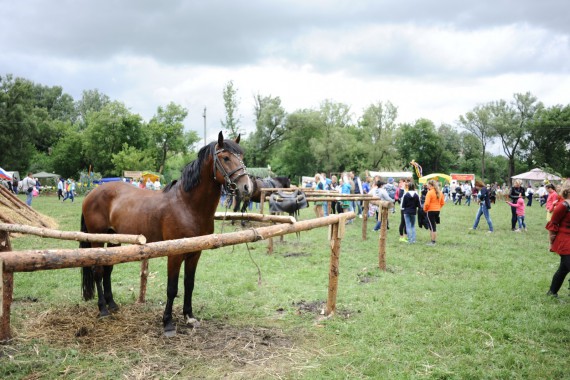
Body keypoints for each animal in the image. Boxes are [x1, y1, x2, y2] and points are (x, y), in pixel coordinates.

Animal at [80, 132, 251, 334]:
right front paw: (168, 323)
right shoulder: (174, 254)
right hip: (97, 239)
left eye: (242, 157)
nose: (247, 187)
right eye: (225, 158)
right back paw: (103, 309)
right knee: (98, 271)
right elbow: (172, 288)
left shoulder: (195, 253)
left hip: (113, 240)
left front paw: (189, 316)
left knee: (108, 269)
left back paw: (112, 304)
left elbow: (189, 284)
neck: (187, 205)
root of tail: (92, 192)